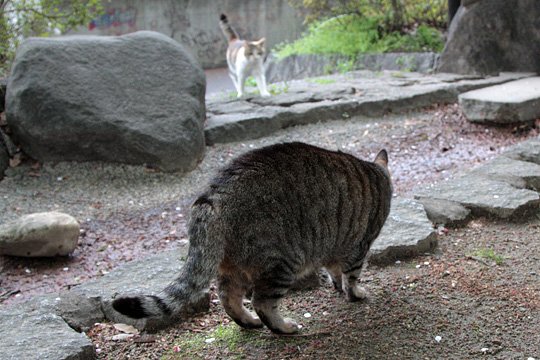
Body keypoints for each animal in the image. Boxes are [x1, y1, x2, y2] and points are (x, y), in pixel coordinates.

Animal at [114, 142, 392, 334]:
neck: (375, 175)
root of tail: (214, 195)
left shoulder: (334, 246)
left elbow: (334, 270)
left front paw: (337, 285)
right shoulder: (359, 246)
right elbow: (351, 276)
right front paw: (355, 293)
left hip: (233, 267)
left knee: (227, 298)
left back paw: (248, 321)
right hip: (281, 263)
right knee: (262, 302)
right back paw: (283, 327)